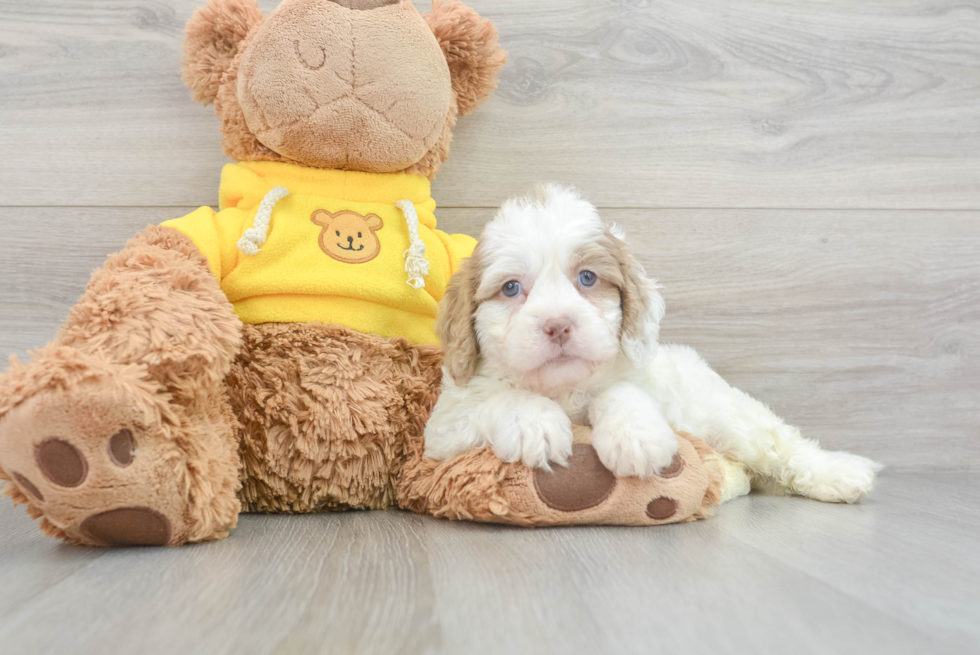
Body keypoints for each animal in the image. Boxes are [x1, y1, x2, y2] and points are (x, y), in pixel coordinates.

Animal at [424, 184, 884, 502]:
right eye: (511, 288)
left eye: (587, 277)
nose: (558, 326)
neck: (564, 389)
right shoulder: (443, 431)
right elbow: (497, 399)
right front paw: (534, 423)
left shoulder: (646, 380)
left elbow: (620, 391)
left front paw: (635, 436)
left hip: (729, 416)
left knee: (779, 445)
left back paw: (840, 474)